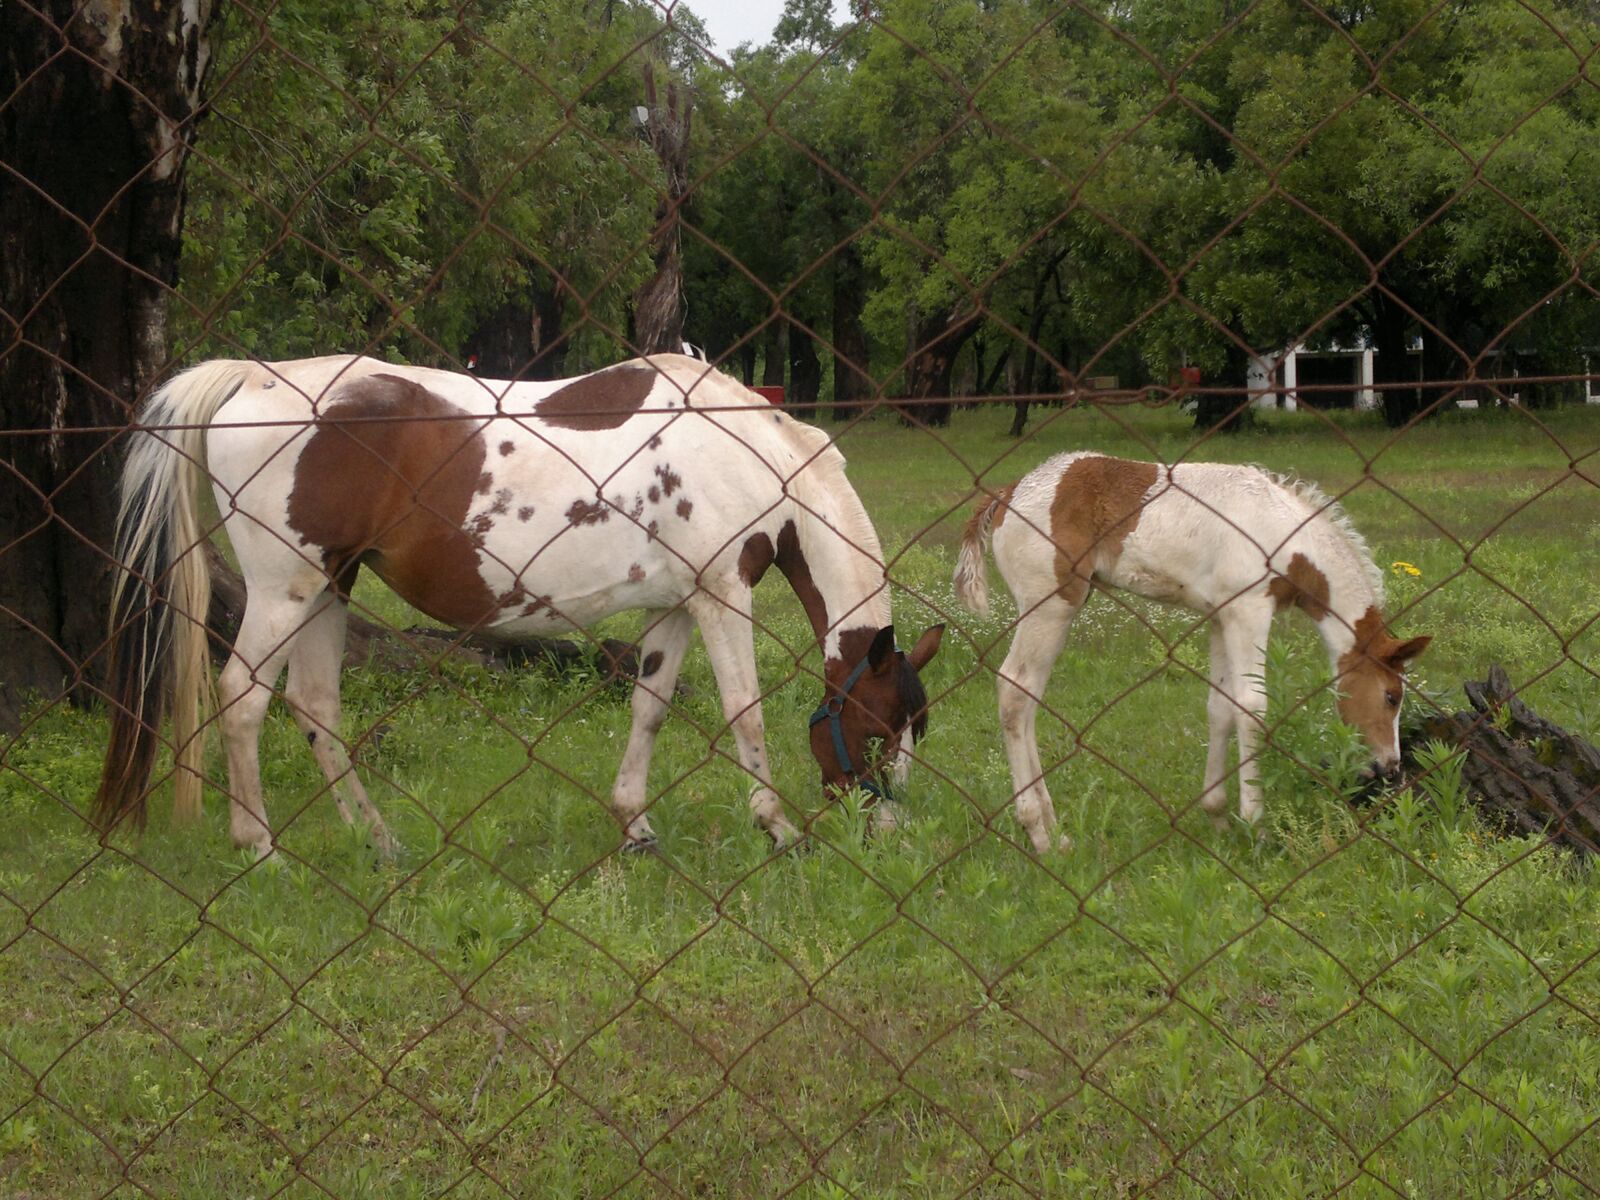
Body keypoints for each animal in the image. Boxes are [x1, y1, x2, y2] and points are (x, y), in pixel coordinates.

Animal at [93, 352, 940, 857]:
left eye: (915, 730)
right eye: (874, 729)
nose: (888, 824)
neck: (742, 453)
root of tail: (252, 377)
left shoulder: (674, 606)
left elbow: (649, 710)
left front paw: (635, 825)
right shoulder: (722, 595)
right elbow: (746, 715)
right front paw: (778, 827)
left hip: (330, 588)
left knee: (315, 708)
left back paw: (377, 839)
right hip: (283, 592)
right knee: (242, 701)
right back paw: (261, 847)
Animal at [953, 451, 1433, 857]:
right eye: (1391, 696)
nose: (1390, 765)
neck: (1282, 534)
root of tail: (1007, 493)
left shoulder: (1221, 617)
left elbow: (1220, 706)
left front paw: (1218, 817)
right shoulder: (1249, 609)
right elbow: (1252, 707)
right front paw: (1256, 827)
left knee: (1028, 698)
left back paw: (1056, 830)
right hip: (1050, 605)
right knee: (1015, 691)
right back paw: (1038, 833)